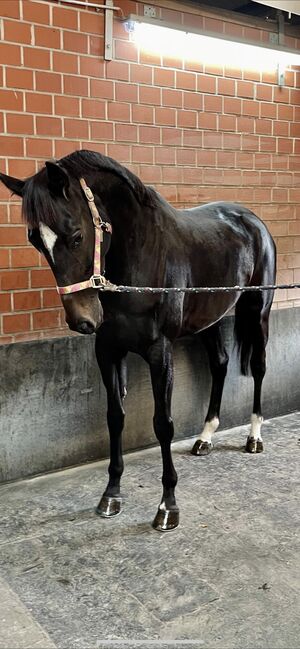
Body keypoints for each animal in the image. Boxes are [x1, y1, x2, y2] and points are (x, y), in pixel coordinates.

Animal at [0, 152, 276, 532]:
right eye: (35, 240)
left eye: (76, 235)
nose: (83, 321)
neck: (141, 260)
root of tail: (252, 220)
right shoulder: (108, 351)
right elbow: (115, 417)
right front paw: (111, 494)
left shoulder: (160, 353)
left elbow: (163, 424)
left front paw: (167, 506)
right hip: (211, 319)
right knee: (219, 365)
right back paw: (205, 437)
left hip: (257, 310)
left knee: (260, 368)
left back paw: (254, 437)